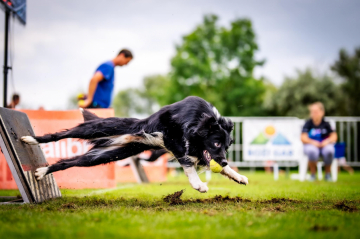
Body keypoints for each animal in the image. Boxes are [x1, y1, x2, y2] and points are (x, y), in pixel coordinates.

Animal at [21, 96, 248, 191]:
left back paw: (41, 172)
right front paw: (198, 184)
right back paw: (30, 140)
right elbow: (188, 164)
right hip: (98, 128)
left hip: (107, 155)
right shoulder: (172, 139)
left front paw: (238, 176)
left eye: (227, 146)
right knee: (62, 134)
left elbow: (211, 165)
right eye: (217, 143)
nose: (224, 160)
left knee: (71, 162)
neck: (200, 119)